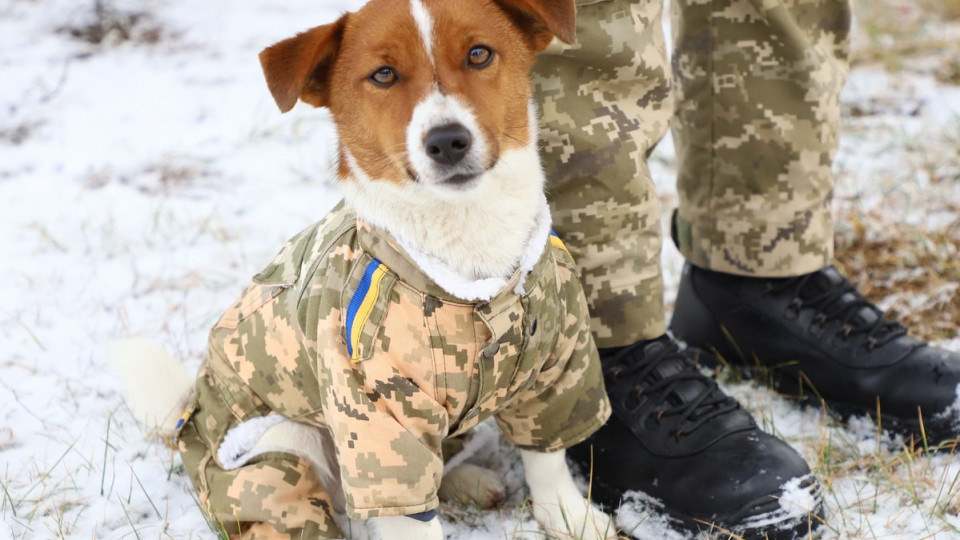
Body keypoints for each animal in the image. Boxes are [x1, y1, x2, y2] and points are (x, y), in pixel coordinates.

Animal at [118, 1, 616, 540]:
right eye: (383, 74)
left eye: (479, 53)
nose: (447, 141)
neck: (471, 260)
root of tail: (185, 417)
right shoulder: (376, 419)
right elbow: (411, 516)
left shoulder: (558, 368)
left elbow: (546, 456)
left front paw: (570, 518)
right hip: (279, 443)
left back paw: (471, 481)